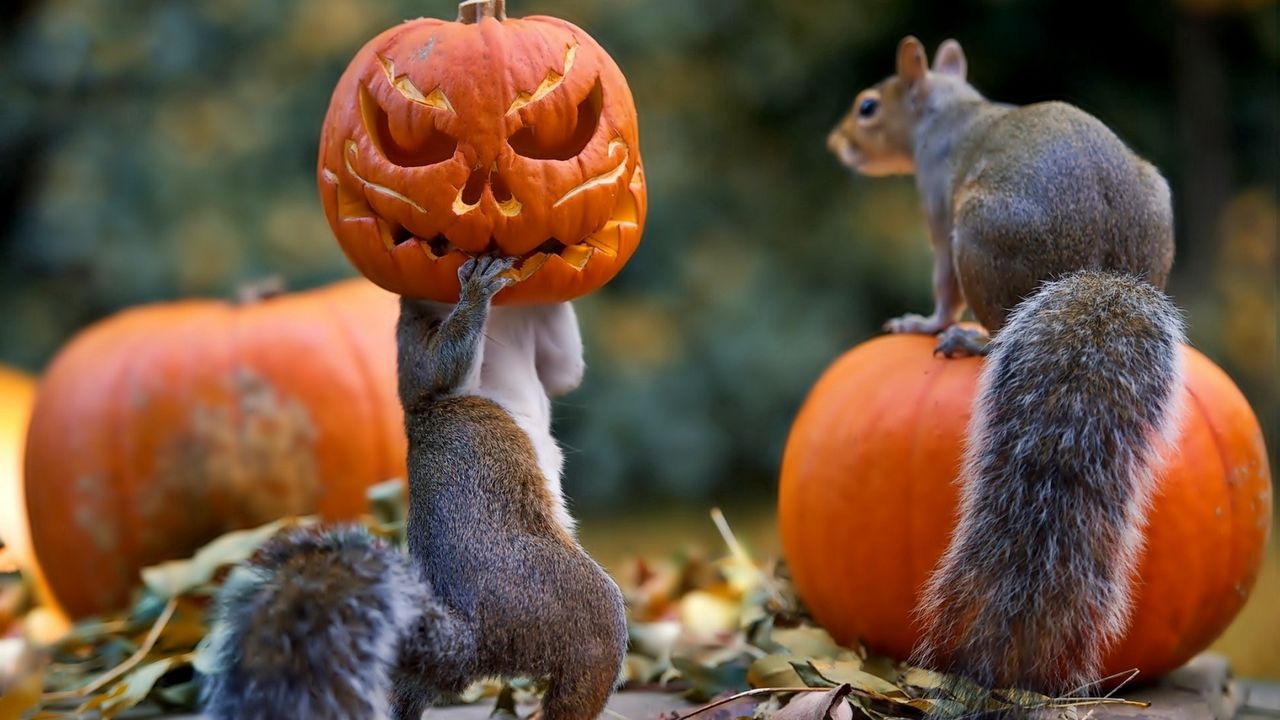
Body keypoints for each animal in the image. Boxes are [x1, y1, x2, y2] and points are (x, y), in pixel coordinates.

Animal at [199, 256, 627, 720]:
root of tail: (474, 640)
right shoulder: (413, 350)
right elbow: (438, 369)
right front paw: (475, 290)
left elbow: (564, 370)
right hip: (573, 604)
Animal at [828, 38, 1186, 696]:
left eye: (868, 107)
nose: (836, 144)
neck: (949, 111)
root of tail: (1104, 268)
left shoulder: (938, 205)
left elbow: (941, 284)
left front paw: (926, 322)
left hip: (979, 234)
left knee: (989, 320)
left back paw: (970, 340)